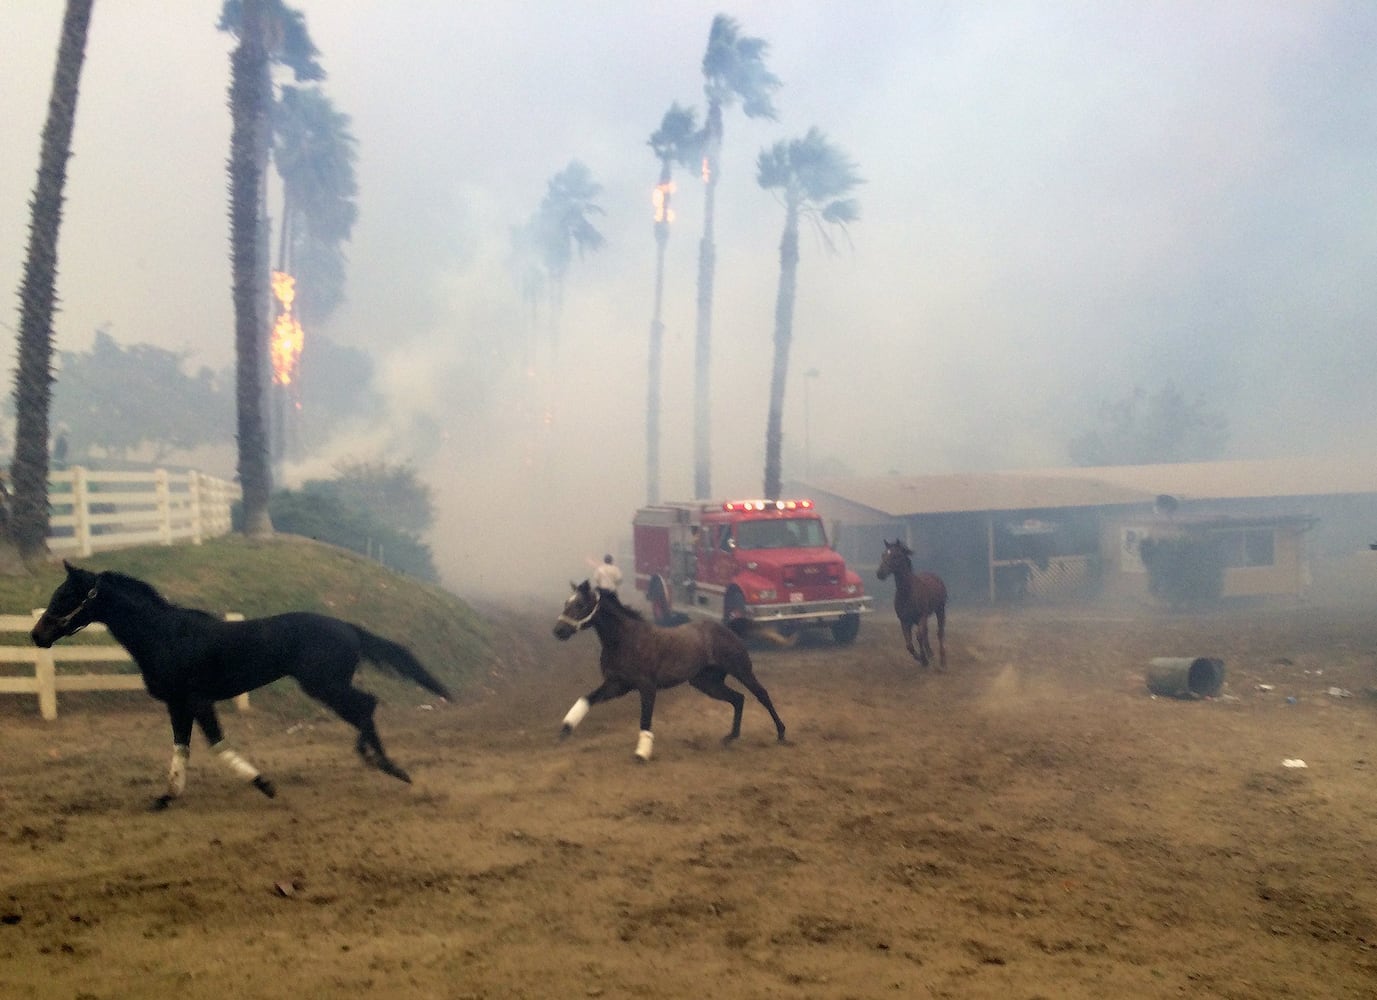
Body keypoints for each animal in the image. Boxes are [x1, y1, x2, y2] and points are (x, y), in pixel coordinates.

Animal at [32, 559, 448, 809]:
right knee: (366, 706)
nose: (37, 635)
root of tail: (349, 628)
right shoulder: (177, 704)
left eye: (68, 594)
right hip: (326, 685)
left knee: (366, 706)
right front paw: (167, 796)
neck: (166, 636)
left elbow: (217, 745)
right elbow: (180, 748)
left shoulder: (198, 701)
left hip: (324, 685)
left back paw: (385, 765)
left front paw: (265, 784)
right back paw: (382, 763)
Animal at [548, 578, 787, 760]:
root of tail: (727, 628)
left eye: (580, 605)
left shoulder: (646, 686)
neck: (625, 639)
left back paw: (781, 733)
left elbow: (645, 719)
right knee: (738, 699)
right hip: (707, 683)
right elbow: (587, 698)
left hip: (741, 670)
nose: (559, 631)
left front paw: (642, 753)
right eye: (566, 602)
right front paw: (566, 728)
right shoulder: (617, 684)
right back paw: (730, 737)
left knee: (761, 695)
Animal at [870, 539, 947, 674]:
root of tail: (936, 577)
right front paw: (922, 659)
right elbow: (909, 645)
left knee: (939, 633)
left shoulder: (922, 616)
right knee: (926, 633)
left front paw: (924, 659)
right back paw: (930, 654)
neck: (908, 593)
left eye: (896, 556)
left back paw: (942, 661)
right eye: (883, 555)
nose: (880, 573)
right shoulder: (904, 620)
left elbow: (919, 636)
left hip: (940, 610)